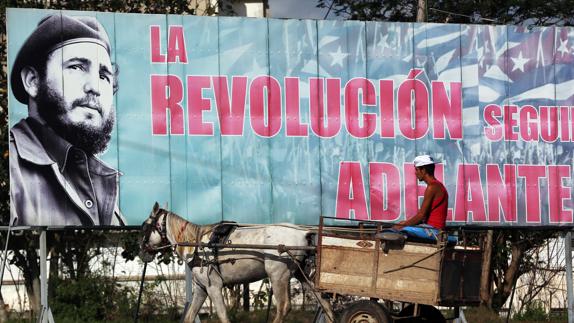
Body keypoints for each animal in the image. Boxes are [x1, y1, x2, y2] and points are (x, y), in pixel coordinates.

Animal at [140, 204, 336, 322]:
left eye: (146, 226)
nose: (142, 250)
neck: (196, 245)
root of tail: (303, 232)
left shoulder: (213, 287)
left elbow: (222, 315)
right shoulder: (202, 289)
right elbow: (189, 316)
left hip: (278, 275)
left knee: (284, 307)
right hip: (302, 274)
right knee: (325, 303)